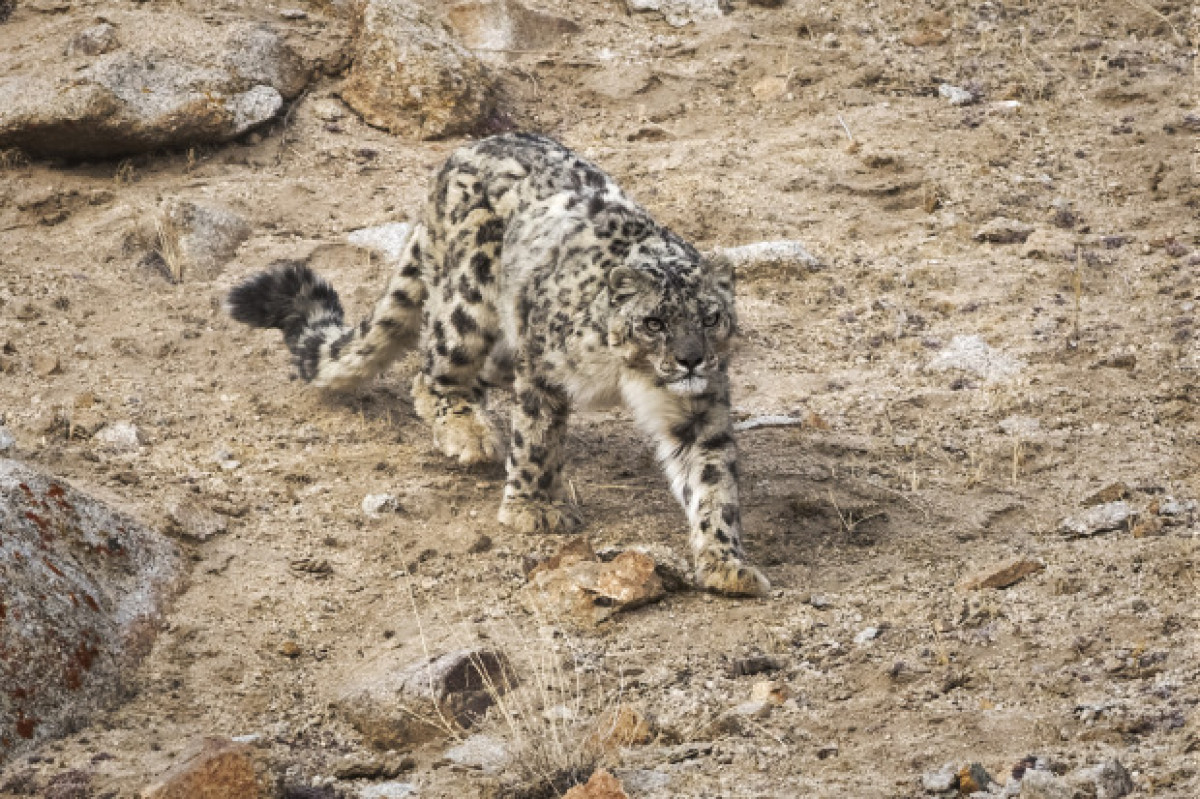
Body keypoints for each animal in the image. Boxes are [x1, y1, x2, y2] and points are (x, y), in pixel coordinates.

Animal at [225, 131, 768, 590]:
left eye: (710, 317)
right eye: (654, 322)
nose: (691, 360)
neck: (628, 374)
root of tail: (461, 152)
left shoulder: (700, 407)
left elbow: (712, 478)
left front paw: (727, 563)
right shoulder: (545, 366)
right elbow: (538, 437)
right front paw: (533, 507)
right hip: (468, 296)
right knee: (434, 371)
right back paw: (469, 434)